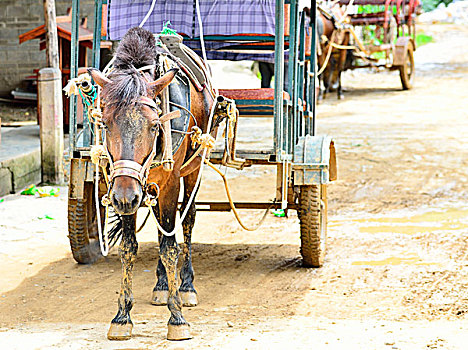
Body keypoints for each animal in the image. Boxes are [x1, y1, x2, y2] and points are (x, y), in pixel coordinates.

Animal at [88, 28, 216, 342]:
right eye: (105, 124)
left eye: (155, 126)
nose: (125, 197)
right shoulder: (124, 189)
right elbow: (129, 247)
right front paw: (122, 316)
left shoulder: (168, 184)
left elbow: (170, 247)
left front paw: (177, 318)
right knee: (161, 227)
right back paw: (161, 286)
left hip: (193, 168)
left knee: (187, 221)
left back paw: (186, 286)